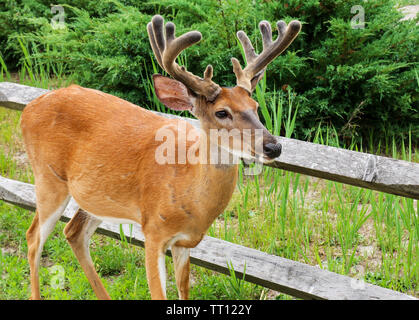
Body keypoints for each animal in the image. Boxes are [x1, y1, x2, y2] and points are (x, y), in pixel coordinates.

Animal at [20, 15, 302, 300]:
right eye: (222, 112)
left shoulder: (185, 242)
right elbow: (158, 292)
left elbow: (184, 290)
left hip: (95, 196)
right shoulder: (153, 230)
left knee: (73, 232)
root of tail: (29, 106)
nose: (273, 147)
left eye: (256, 107)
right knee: (33, 237)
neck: (191, 196)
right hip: (48, 179)